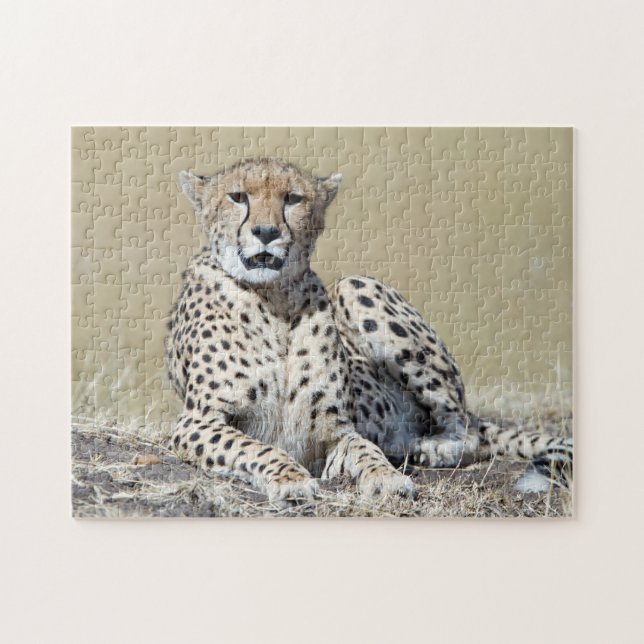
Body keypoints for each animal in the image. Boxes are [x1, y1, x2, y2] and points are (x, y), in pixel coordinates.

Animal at [165, 157, 572, 503]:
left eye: (293, 198)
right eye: (237, 197)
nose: (266, 232)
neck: (274, 299)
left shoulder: (337, 430)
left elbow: (364, 448)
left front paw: (385, 477)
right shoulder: (197, 421)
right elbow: (253, 446)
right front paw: (290, 478)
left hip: (355, 286)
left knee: (466, 428)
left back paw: (431, 447)